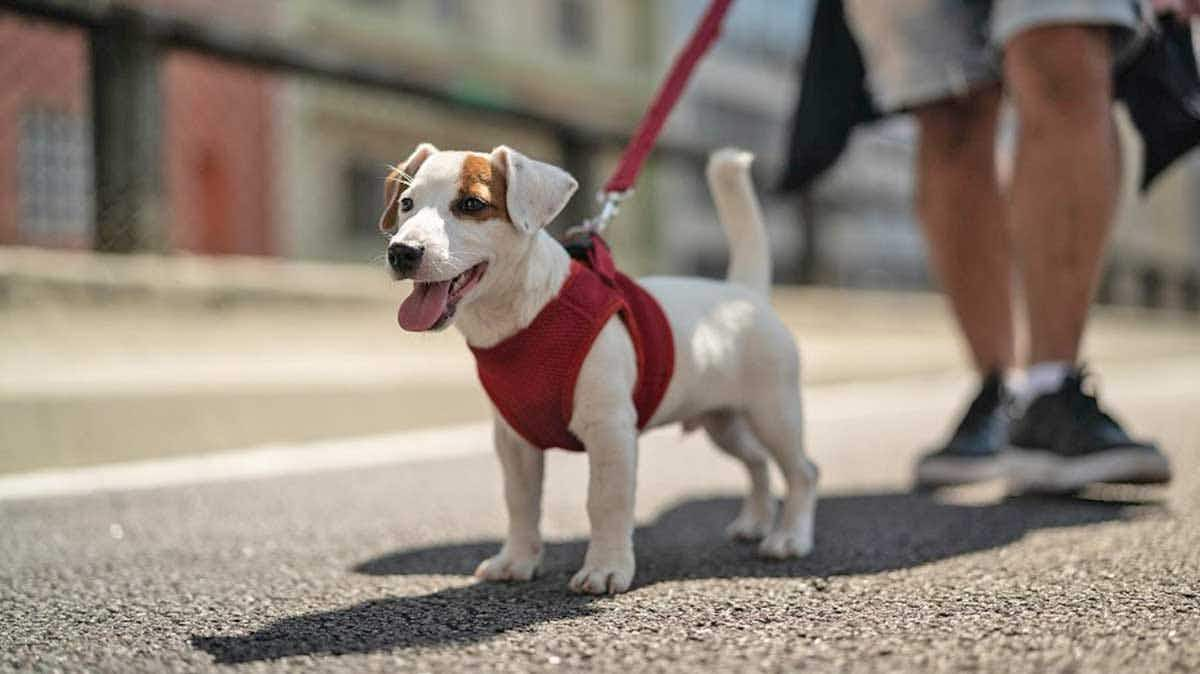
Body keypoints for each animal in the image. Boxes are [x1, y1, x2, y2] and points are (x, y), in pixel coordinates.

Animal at [379, 142, 820, 592]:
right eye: (406, 203)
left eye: (471, 204)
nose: (402, 252)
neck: (527, 317)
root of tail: (744, 293)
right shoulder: (514, 441)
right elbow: (521, 503)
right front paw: (517, 560)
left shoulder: (610, 433)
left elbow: (605, 502)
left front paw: (606, 567)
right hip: (723, 423)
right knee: (758, 462)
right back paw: (755, 522)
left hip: (773, 414)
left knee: (802, 472)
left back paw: (789, 537)